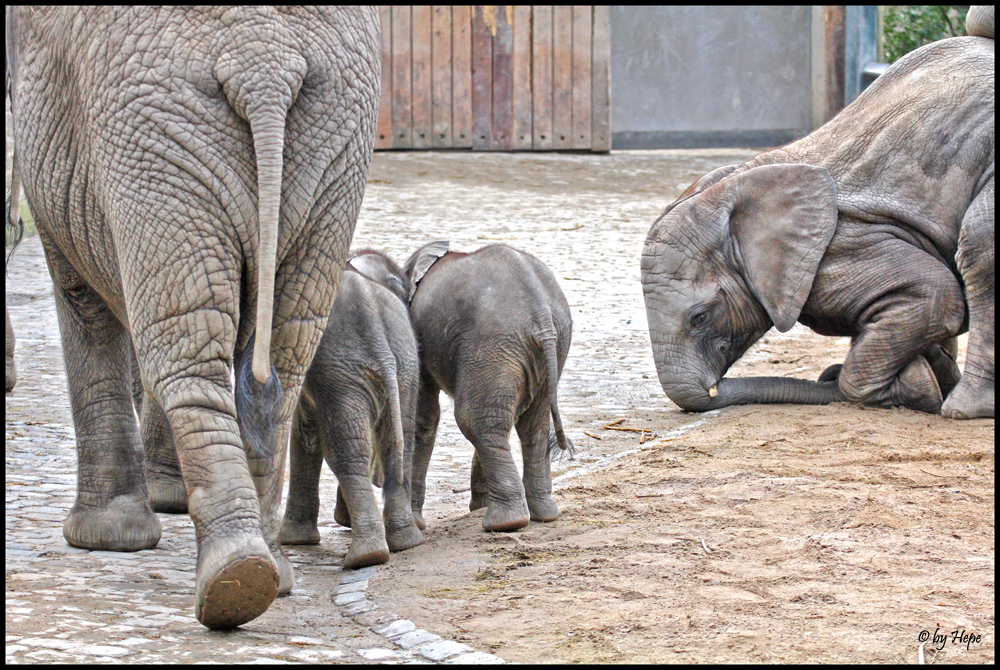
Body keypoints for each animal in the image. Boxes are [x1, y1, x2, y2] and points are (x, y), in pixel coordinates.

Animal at [6, 6, 382, 632]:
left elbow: (83, 301)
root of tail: (264, 65)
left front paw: (104, 539)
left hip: (150, 137)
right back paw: (266, 577)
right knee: (282, 352)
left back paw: (233, 581)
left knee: (186, 349)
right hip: (333, 136)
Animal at [280, 249, 424, 568]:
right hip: (404, 368)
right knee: (400, 444)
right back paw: (405, 543)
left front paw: (295, 540)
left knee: (347, 450)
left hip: (341, 375)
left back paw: (366, 556)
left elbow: (305, 434)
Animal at [404, 243, 576, 536]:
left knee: (474, 420)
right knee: (531, 425)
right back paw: (542, 515)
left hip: (492, 344)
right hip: (541, 347)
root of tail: (541, 312)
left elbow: (423, 416)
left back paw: (505, 523)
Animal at [640, 7, 992, 420]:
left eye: (699, 317)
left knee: (980, 244)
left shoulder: (844, 251)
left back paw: (964, 408)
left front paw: (915, 386)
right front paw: (928, 373)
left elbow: (935, 295)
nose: (710, 389)